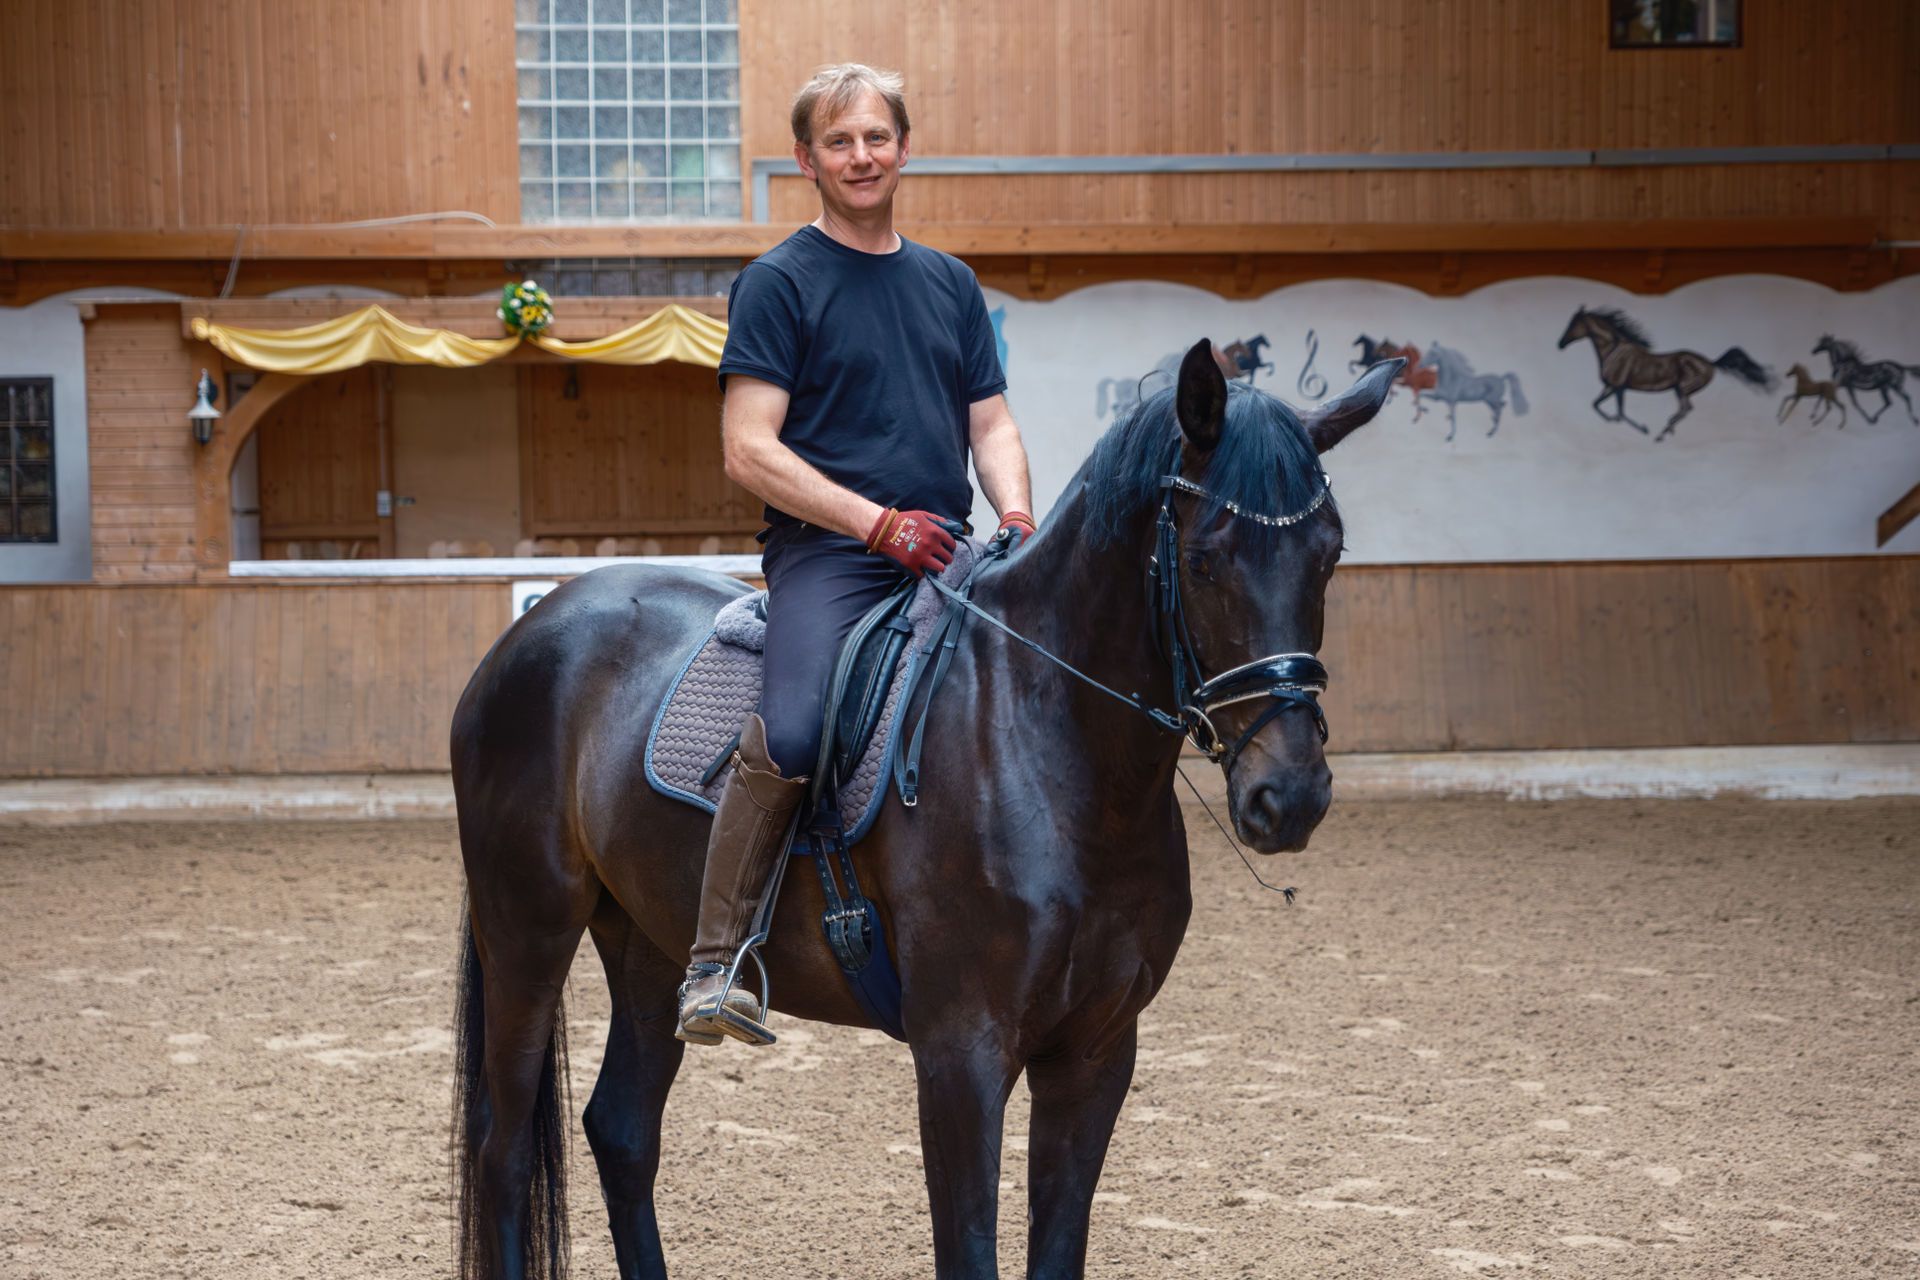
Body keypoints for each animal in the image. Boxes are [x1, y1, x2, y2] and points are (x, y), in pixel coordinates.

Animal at [447, 341, 1402, 1280]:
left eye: (1329, 554)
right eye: (1204, 558)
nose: (1291, 797)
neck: (1054, 753)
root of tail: (531, 630)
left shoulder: (1096, 1052)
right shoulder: (960, 1052)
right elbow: (968, 1246)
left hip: (649, 941)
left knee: (621, 1131)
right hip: (528, 929)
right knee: (504, 1149)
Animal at [1558, 306, 1775, 442]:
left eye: (1573, 324)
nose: (1560, 344)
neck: (1614, 350)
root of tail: (1711, 363)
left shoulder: (1618, 386)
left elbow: (1621, 412)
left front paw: (1643, 428)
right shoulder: (1611, 386)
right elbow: (1596, 404)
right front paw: (1614, 419)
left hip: (1683, 388)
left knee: (1686, 408)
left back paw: (1662, 433)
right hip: (1680, 390)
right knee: (1684, 409)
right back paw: (1667, 428)